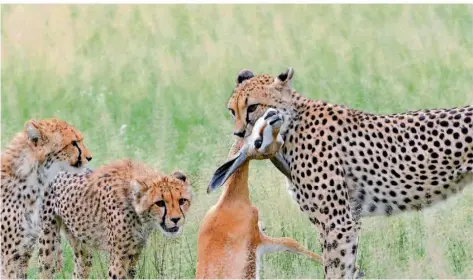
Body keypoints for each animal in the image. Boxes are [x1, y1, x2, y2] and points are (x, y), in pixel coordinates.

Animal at [37, 159, 192, 278]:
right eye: (160, 203)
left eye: (182, 201)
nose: (176, 219)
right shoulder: (118, 259)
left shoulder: (133, 255)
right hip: (47, 242)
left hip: (82, 246)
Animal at [224, 67, 472, 278]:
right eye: (232, 110)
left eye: (253, 107)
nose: (239, 134)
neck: (291, 126)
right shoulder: (346, 219)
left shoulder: (338, 221)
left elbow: (336, 267)